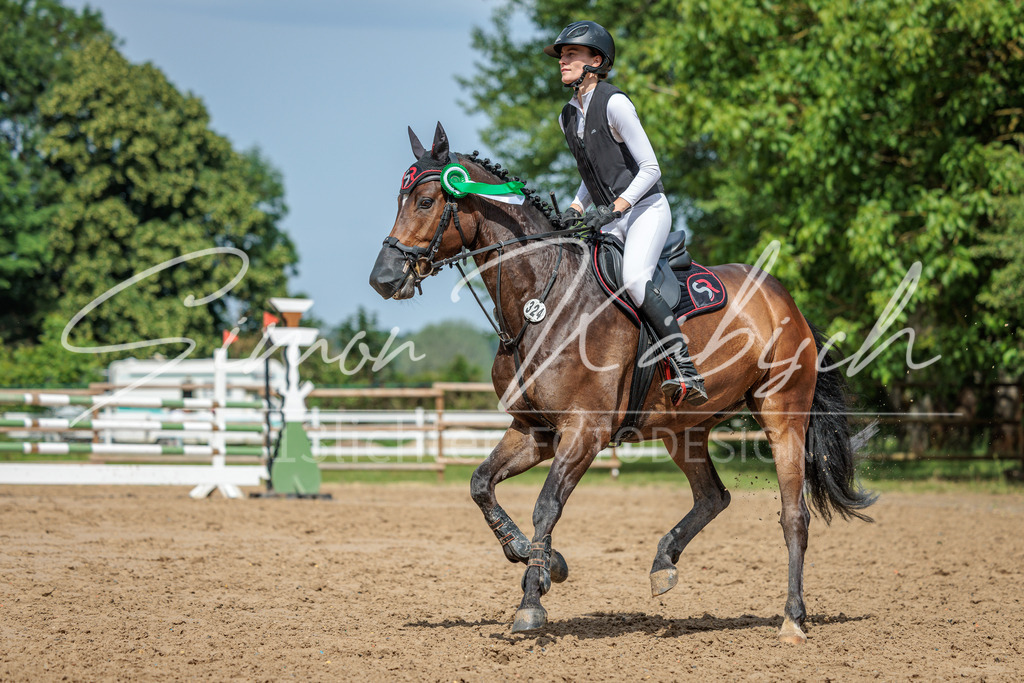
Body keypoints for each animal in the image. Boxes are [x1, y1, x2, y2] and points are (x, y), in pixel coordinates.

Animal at [369, 123, 876, 644]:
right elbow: (480, 484)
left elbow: (546, 506)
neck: (542, 303)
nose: (382, 278)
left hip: (782, 416)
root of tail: (785, 301)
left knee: (794, 515)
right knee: (713, 496)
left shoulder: (584, 432)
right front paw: (535, 556)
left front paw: (532, 599)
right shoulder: (534, 430)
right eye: (400, 199)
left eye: (425, 201)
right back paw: (663, 564)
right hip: (684, 430)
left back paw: (792, 619)